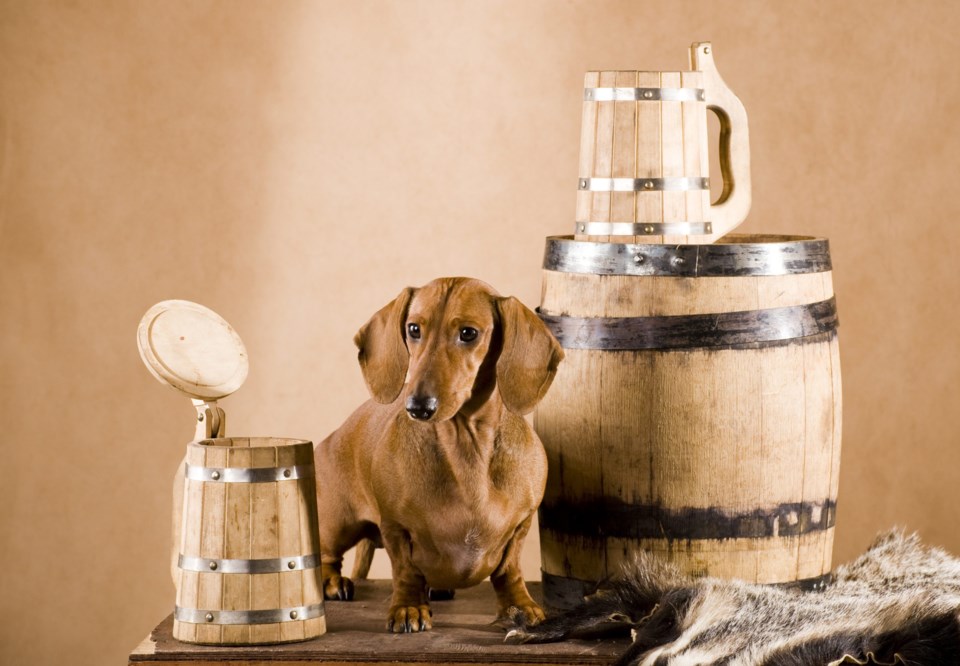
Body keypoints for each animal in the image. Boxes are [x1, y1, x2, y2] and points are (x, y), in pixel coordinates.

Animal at [316, 276, 564, 632]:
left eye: (468, 333)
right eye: (413, 328)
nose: (418, 406)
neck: (467, 449)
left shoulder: (522, 524)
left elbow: (509, 569)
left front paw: (519, 605)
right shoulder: (395, 527)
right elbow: (405, 570)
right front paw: (408, 607)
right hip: (337, 521)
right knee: (326, 556)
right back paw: (333, 582)